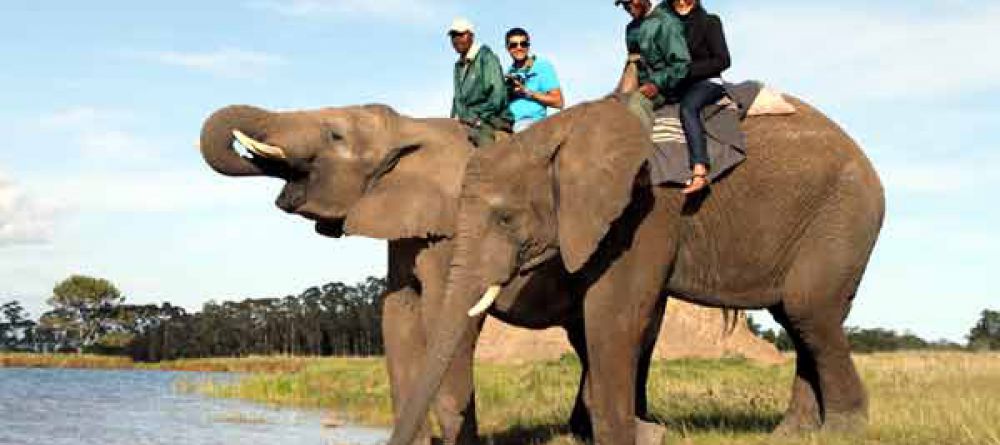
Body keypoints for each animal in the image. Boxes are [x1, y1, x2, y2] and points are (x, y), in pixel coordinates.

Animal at [388, 95, 885, 445]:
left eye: (505, 219)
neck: (563, 132)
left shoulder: (647, 209)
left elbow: (614, 314)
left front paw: (628, 436)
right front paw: (645, 432)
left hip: (844, 214)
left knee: (808, 309)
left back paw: (842, 432)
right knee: (798, 317)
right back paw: (792, 434)